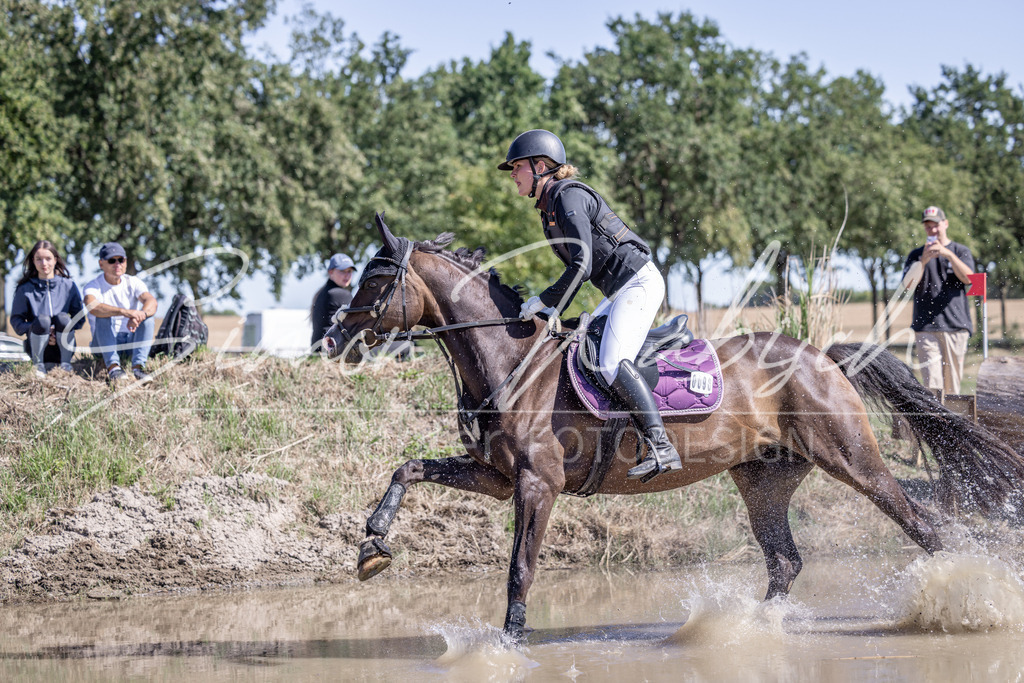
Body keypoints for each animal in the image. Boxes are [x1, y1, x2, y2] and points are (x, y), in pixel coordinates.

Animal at [323, 214, 1024, 642]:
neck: (510, 360)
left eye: (378, 278)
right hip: (762, 480)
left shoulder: (537, 485)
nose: (333, 339)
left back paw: (964, 600)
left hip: (851, 458)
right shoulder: (497, 478)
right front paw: (372, 544)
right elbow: (409, 467)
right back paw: (745, 630)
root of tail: (821, 355)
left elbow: (520, 569)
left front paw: (507, 645)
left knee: (922, 526)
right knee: (786, 561)